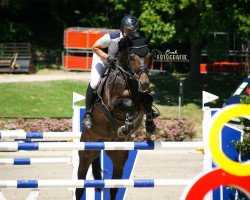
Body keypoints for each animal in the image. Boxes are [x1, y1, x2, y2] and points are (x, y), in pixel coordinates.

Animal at [75, 33, 151, 199]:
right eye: (132, 57)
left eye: (149, 56)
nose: (144, 83)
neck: (128, 80)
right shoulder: (111, 104)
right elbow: (128, 103)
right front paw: (126, 126)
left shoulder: (141, 100)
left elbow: (148, 100)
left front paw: (151, 125)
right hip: (86, 154)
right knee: (79, 186)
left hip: (119, 157)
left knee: (114, 188)